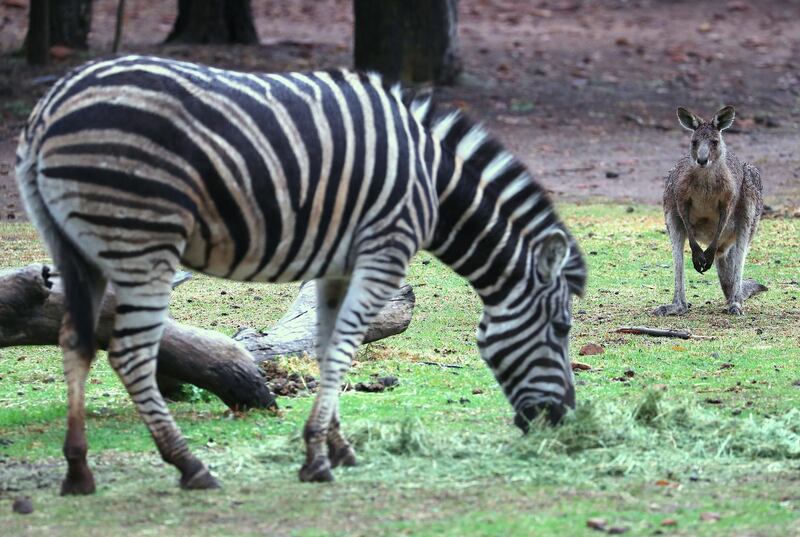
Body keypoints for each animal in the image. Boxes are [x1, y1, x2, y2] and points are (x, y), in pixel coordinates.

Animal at [14, 55, 588, 494]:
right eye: (561, 328)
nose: (563, 420)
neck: (434, 183)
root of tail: (50, 105)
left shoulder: (339, 265)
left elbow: (328, 345)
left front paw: (337, 446)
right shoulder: (385, 249)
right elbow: (344, 348)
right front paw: (316, 457)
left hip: (76, 245)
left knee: (75, 340)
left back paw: (79, 471)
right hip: (142, 240)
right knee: (130, 353)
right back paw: (190, 465)